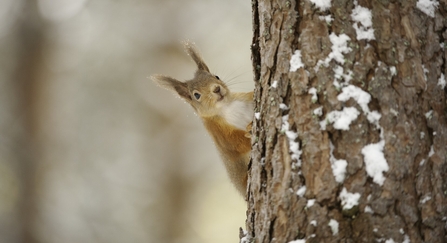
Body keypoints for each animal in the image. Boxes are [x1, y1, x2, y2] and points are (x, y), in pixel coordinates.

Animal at [152, 42, 254, 197]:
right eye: (196, 95)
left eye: (216, 76)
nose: (216, 89)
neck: (227, 106)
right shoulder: (219, 133)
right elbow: (236, 144)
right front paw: (250, 130)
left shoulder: (244, 98)